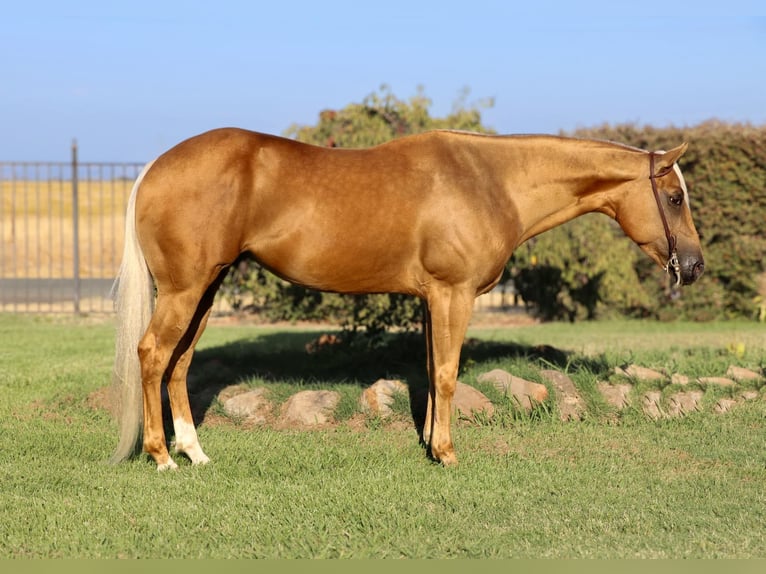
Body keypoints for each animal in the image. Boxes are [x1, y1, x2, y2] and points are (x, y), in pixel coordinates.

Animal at [110, 128, 704, 470]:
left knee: (180, 362)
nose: (695, 266)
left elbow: (431, 371)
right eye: (674, 197)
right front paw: (447, 453)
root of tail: (154, 169)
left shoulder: (430, 300)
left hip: (206, 290)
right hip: (186, 290)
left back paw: (194, 452)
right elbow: (447, 372)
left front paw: (429, 442)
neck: (490, 181)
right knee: (153, 355)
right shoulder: (452, 294)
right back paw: (161, 457)